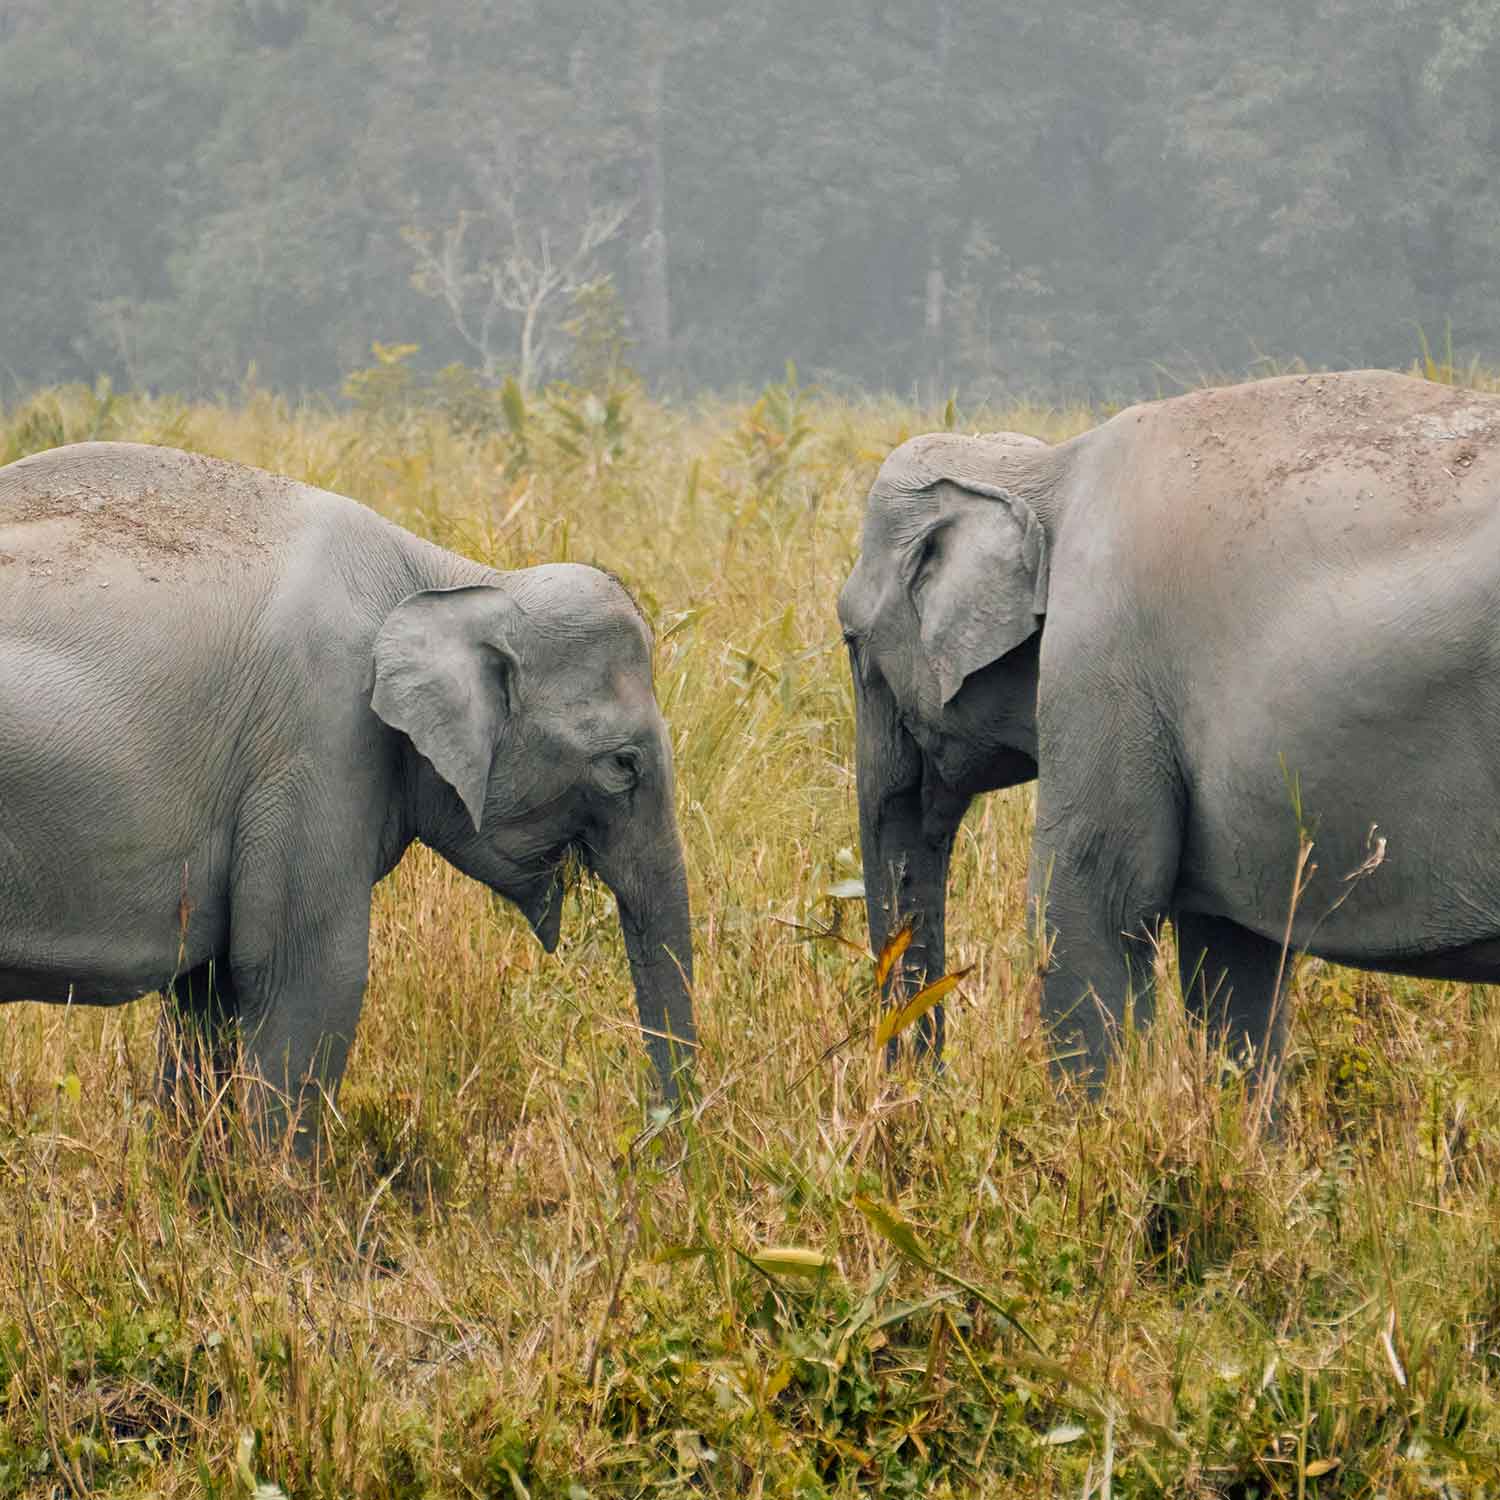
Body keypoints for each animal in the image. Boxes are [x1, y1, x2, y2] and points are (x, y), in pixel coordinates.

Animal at [0, 441, 694, 1138]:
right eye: (623, 765)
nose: (660, 1133)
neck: (451, 577)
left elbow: (207, 985)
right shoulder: (321, 738)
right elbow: (309, 976)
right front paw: (273, 1171)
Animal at [838, 368, 1500, 1090]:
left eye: (850, 638)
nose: (919, 1097)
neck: (1046, 468)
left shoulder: (1103, 664)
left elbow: (1089, 908)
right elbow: (1232, 955)